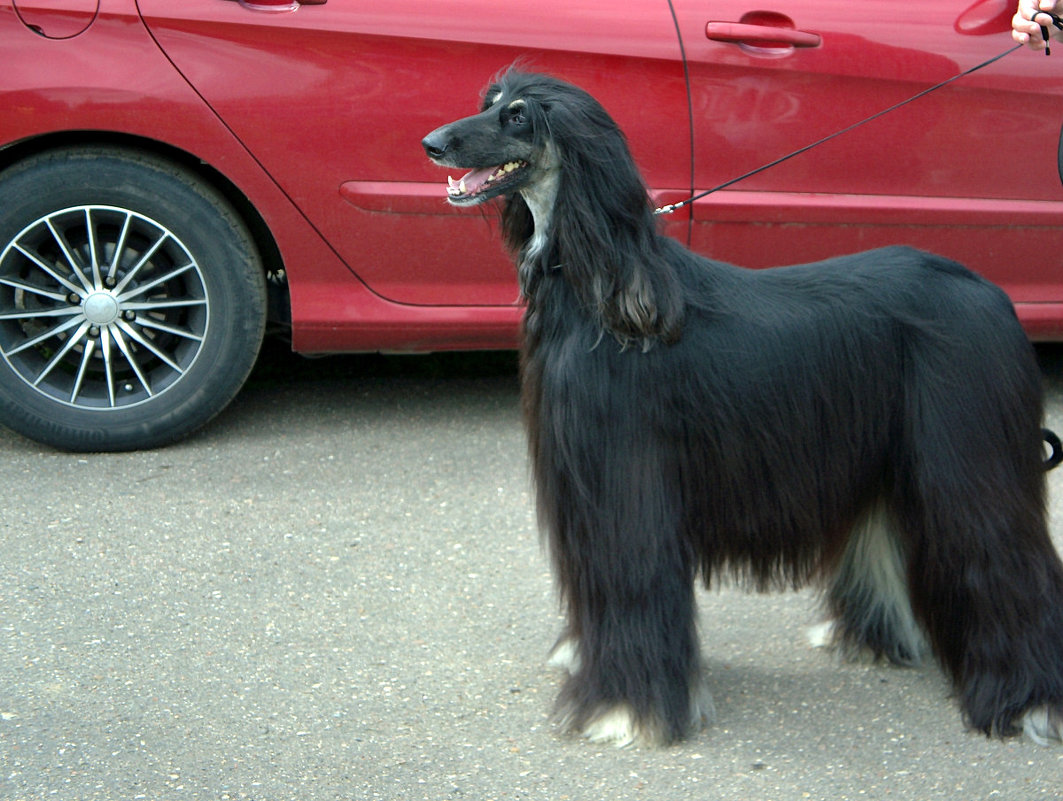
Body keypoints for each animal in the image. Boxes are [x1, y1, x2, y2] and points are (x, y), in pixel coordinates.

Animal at [420, 70, 1063, 747]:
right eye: (489, 104)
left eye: (518, 116)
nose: (431, 144)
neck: (600, 286)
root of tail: (992, 294)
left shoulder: (627, 475)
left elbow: (632, 577)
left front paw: (624, 706)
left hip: (966, 453)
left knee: (1003, 559)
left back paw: (1030, 700)